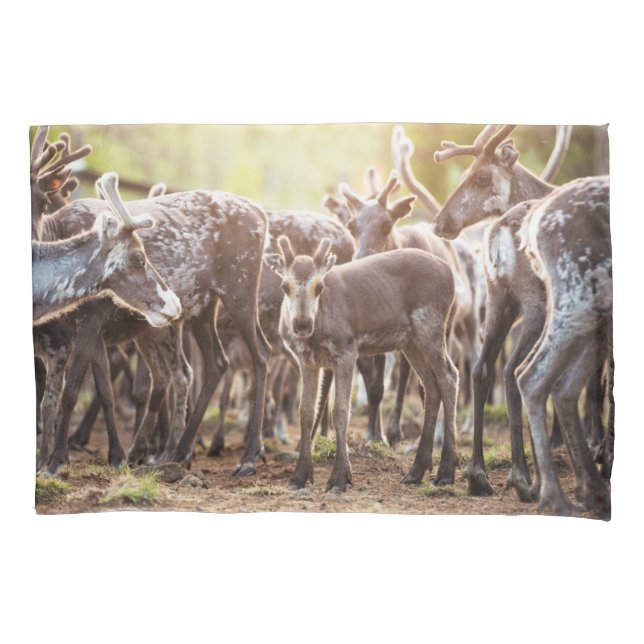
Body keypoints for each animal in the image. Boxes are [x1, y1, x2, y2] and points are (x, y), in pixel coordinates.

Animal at [264, 237, 459, 491]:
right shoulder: (306, 361)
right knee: (430, 385)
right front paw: (299, 476)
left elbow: (340, 411)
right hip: (410, 341)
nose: (303, 324)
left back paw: (446, 470)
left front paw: (340, 477)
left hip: (431, 324)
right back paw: (416, 471)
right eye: (284, 286)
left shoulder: (346, 350)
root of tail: (451, 274)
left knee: (449, 376)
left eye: (319, 287)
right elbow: (305, 412)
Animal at [516, 176, 611, 518]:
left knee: (560, 386)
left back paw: (591, 491)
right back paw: (556, 496)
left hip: (594, 317)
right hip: (581, 302)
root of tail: (533, 222)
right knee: (532, 377)